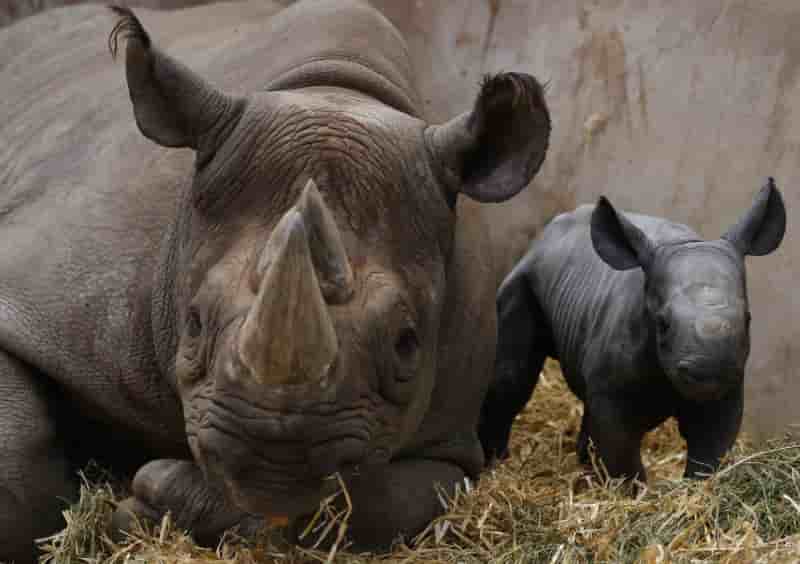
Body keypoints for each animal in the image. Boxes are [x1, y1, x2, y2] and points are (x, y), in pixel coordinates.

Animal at [0, 0, 551, 560]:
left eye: (407, 343)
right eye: (193, 323)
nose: (273, 458)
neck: (337, 88)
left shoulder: (452, 432)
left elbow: (379, 505)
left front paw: (161, 504)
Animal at [478, 179, 785, 481]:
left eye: (748, 319)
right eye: (662, 323)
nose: (709, 370)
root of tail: (542, 239)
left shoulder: (728, 386)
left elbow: (709, 451)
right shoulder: (614, 395)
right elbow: (622, 456)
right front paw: (629, 491)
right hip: (521, 280)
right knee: (513, 376)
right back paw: (495, 465)